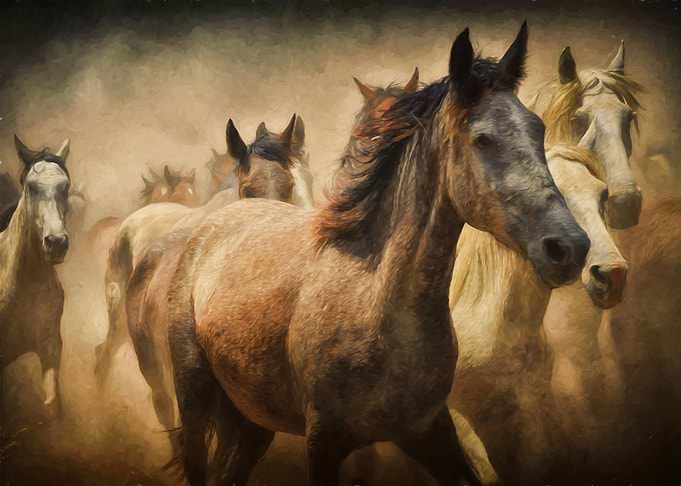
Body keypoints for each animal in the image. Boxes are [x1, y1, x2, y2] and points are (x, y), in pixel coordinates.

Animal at [165, 23, 589, 486]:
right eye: (482, 139)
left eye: (538, 129)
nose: (569, 247)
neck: (379, 302)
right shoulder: (324, 442)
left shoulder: (429, 431)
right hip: (194, 396)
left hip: (253, 420)